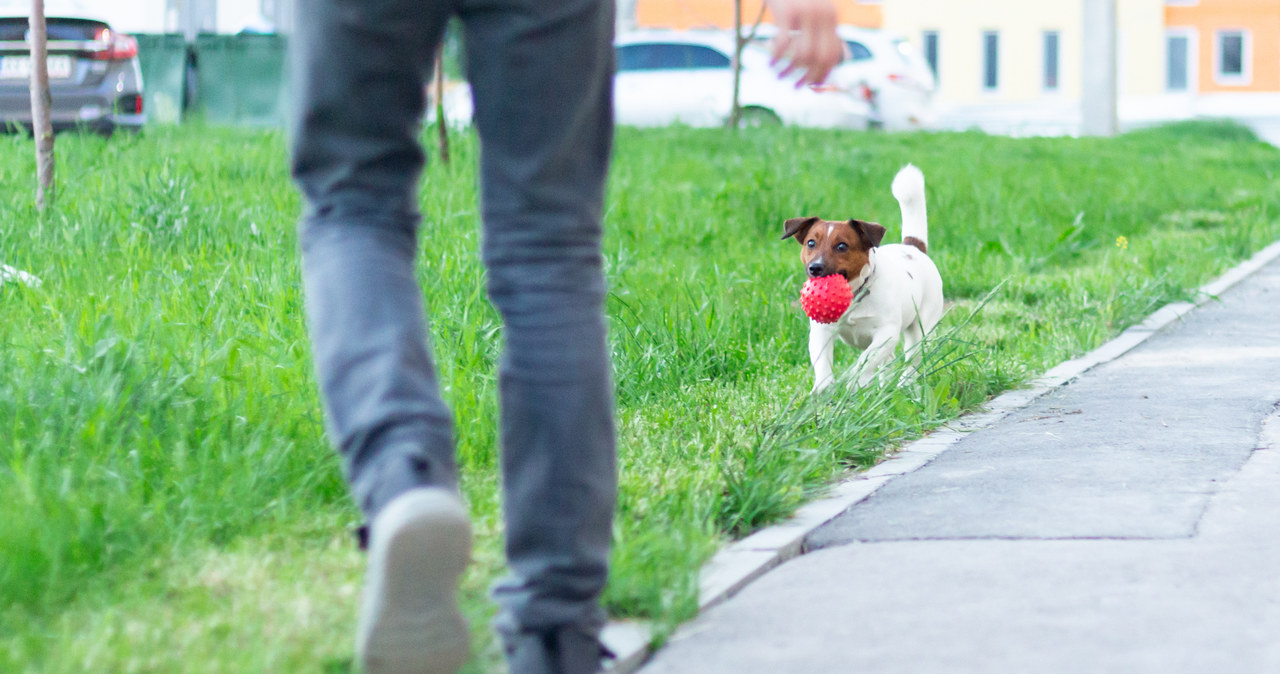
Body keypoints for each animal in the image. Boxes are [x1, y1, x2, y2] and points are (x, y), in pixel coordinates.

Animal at [773, 163, 947, 393]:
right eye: (811, 243)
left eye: (842, 246)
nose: (815, 268)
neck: (854, 296)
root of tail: (913, 247)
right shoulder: (821, 332)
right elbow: (823, 364)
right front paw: (823, 389)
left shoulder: (886, 333)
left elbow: (864, 360)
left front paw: (854, 382)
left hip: (921, 329)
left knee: (913, 359)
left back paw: (904, 384)